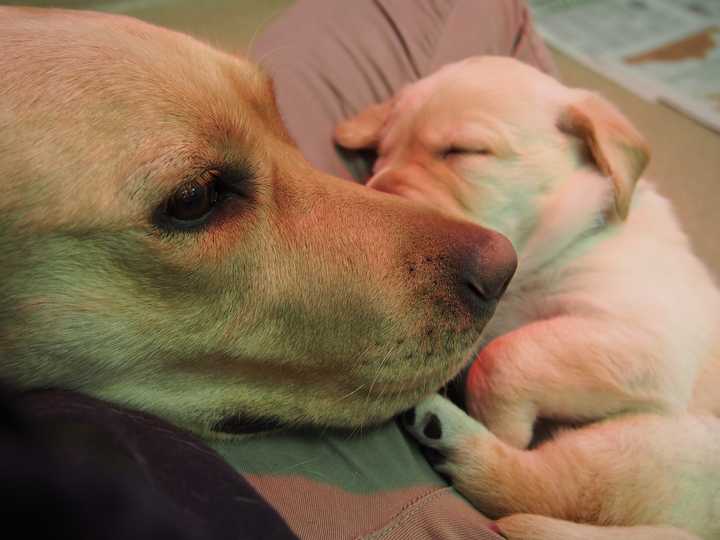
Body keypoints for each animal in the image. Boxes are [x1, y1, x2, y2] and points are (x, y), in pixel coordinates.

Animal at [336, 56, 720, 540]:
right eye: (382, 153)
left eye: (464, 151)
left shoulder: (650, 340)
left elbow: (506, 355)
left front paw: (501, 423)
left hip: (669, 448)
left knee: (545, 488)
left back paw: (447, 431)